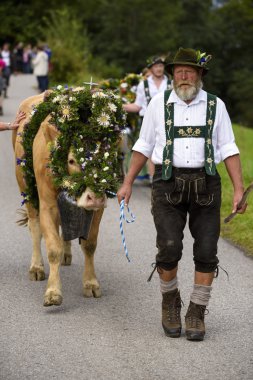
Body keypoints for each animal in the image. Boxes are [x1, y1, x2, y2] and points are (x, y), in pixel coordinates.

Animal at [13, 88, 124, 306]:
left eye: (107, 157)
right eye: (71, 160)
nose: (94, 197)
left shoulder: (98, 209)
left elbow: (89, 244)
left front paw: (91, 283)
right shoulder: (47, 204)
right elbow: (52, 247)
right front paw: (53, 291)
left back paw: (66, 254)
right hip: (26, 189)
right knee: (35, 227)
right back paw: (36, 267)